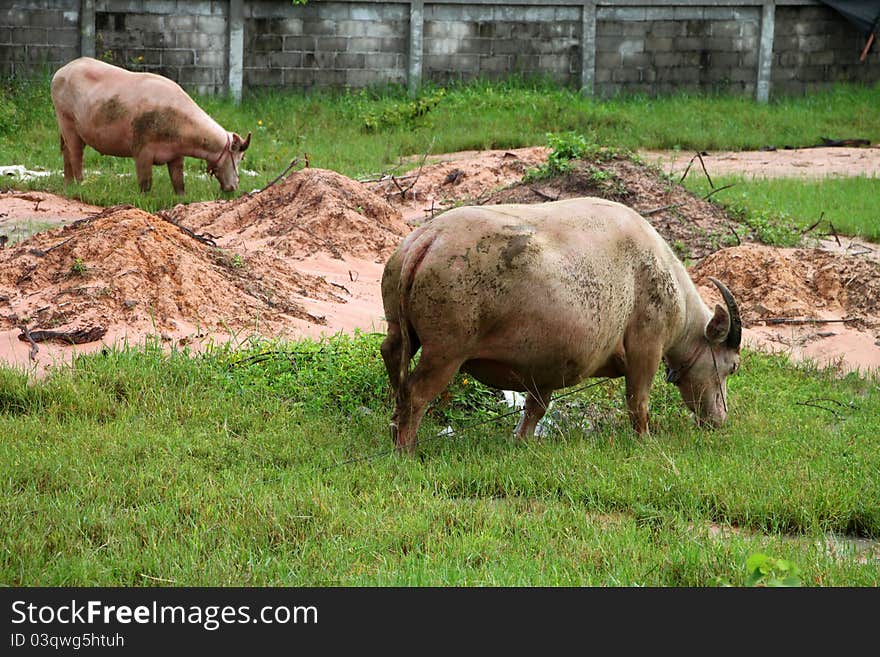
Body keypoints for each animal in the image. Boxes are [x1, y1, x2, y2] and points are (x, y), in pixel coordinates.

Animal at [49, 57, 251, 192]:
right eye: (239, 157)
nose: (234, 186)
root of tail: (62, 71)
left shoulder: (176, 155)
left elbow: (179, 181)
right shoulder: (142, 150)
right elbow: (145, 183)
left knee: (66, 152)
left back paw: (67, 185)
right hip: (65, 119)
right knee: (75, 154)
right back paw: (80, 185)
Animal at [384, 195, 744, 452]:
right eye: (732, 366)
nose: (719, 420)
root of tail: (428, 238)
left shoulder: (545, 367)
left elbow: (535, 409)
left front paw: (522, 442)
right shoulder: (647, 348)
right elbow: (637, 403)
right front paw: (645, 440)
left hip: (401, 333)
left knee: (393, 362)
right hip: (445, 353)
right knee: (415, 394)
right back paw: (407, 450)